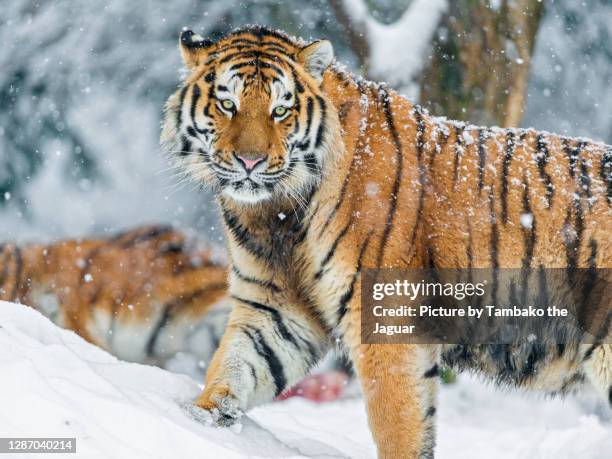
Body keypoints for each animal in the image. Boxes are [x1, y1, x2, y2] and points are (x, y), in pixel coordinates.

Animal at [163, 26, 612, 459]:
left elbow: (396, 421)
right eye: (227, 105)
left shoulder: (385, 316)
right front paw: (201, 421)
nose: (250, 161)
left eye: (280, 110)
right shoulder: (273, 308)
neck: (277, 215)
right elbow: (234, 369)